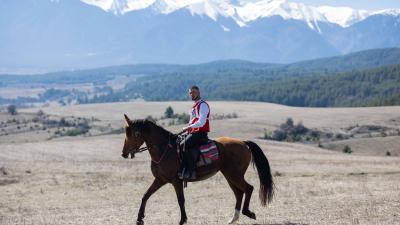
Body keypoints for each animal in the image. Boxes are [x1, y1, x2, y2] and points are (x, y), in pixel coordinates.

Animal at [120, 115, 274, 224]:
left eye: (134, 134)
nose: (124, 153)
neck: (165, 150)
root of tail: (243, 142)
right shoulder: (160, 180)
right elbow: (145, 195)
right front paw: (139, 219)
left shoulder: (176, 181)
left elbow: (180, 200)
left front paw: (183, 220)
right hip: (229, 175)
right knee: (239, 193)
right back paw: (233, 218)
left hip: (234, 175)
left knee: (248, 188)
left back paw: (248, 213)